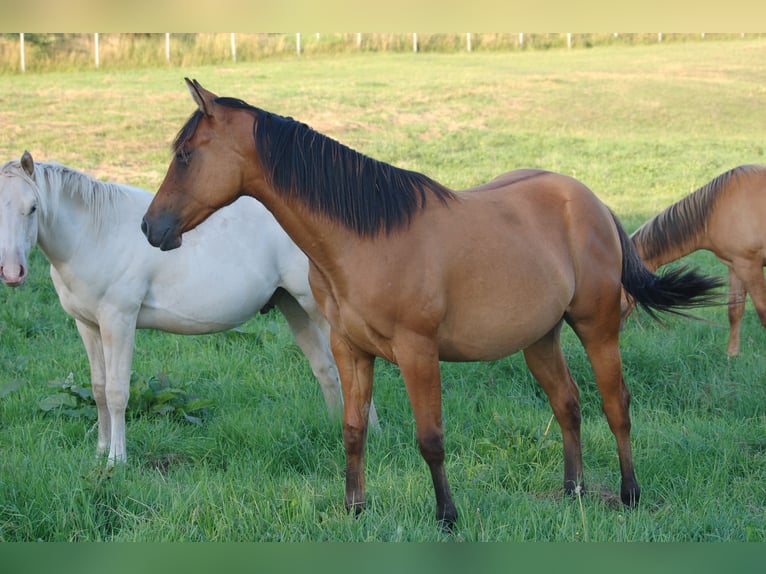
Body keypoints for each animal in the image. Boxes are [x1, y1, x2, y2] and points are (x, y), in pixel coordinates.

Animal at [0, 152, 380, 464]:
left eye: (33, 208)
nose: (12, 272)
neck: (94, 233)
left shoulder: (118, 321)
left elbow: (117, 391)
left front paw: (116, 461)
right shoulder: (88, 326)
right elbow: (98, 390)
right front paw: (100, 452)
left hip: (315, 308)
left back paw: (372, 434)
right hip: (294, 307)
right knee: (326, 370)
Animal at [144, 80, 728, 532]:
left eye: (186, 155)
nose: (151, 228)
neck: (365, 236)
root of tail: (594, 203)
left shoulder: (417, 352)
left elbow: (430, 439)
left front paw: (447, 516)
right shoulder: (349, 349)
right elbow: (353, 430)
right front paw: (354, 509)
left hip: (596, 327)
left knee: (616, 405)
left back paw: (628, 495)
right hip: (540, 338)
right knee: (568, 403)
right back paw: (573, 491)